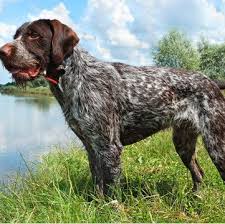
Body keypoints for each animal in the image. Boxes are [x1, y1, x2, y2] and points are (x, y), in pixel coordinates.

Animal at [0, 19, 225, 194]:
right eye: (16, 35)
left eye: (34, 35)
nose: (2, 51)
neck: (74, 76)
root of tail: (211, 82)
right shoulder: (91, 146)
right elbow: (98, 184)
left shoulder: (109, 147)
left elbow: (111, 190)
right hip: (183, 142)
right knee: (198, 172)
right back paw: (196, 197)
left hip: (216, 144)